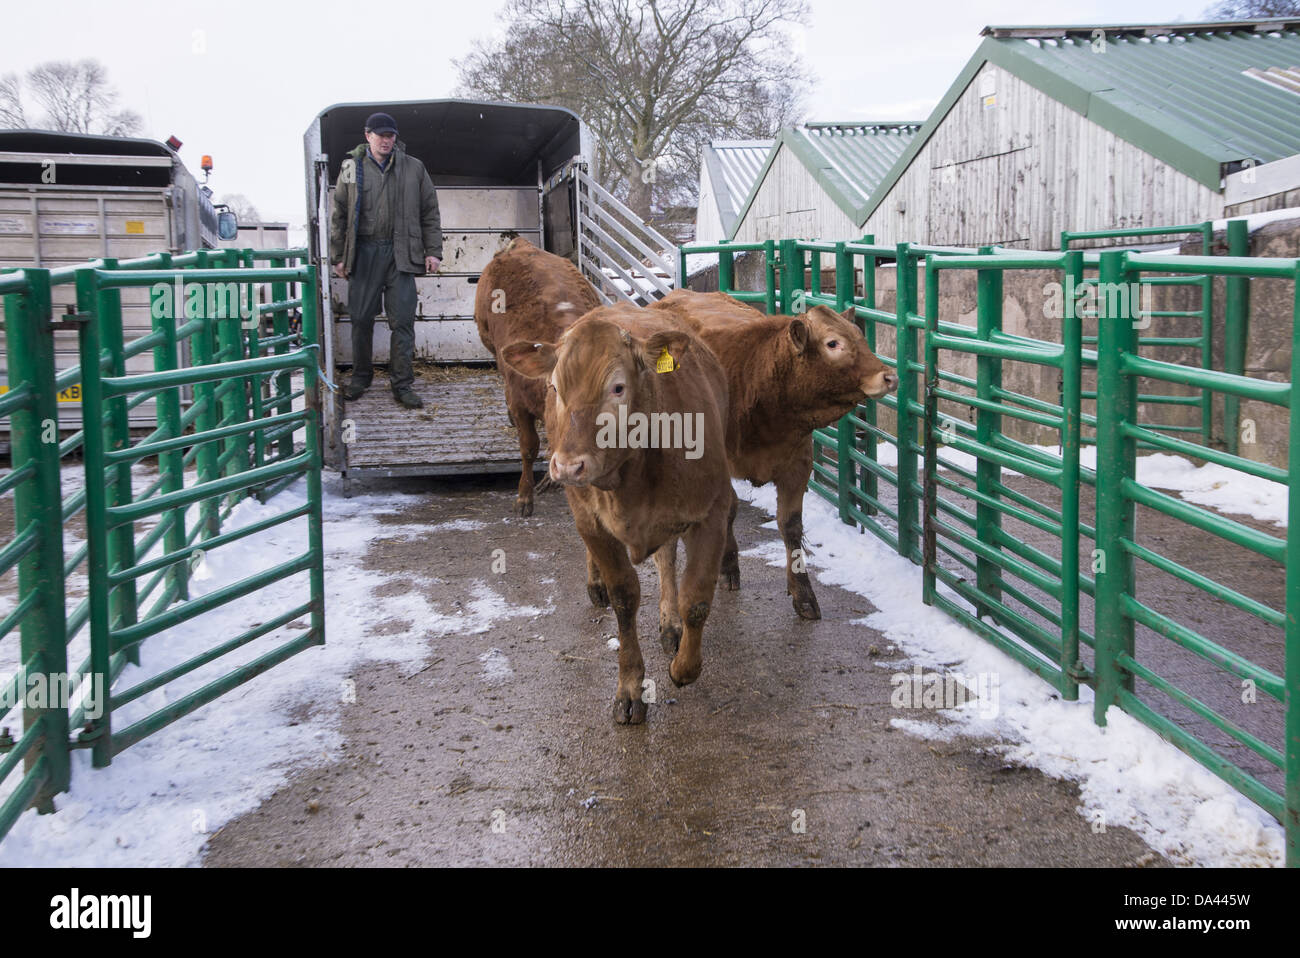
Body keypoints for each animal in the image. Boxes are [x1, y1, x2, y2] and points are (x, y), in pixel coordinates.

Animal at [501, 306, 738, 722]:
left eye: (617, 388)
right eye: (555, 388)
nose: (568, 466)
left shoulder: (710, 511)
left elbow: (695, 600)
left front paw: (684, 666)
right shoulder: (592, 522)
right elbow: (624, 599)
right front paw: (629, 689)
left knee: (665, 558)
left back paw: (670, 624)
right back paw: (596, 583)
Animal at [650, 287, 894, 621]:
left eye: (860, 335)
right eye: (833, 343)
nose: (889, 376)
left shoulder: (798, 464)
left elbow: (791, 526)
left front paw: (803, 593)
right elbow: (729, 510)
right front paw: (728, 564)